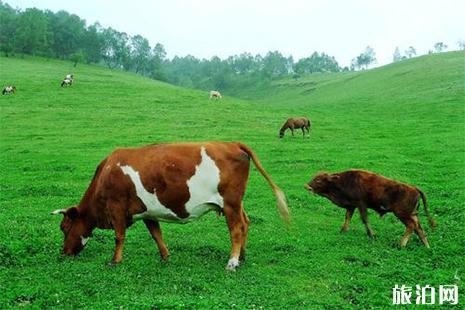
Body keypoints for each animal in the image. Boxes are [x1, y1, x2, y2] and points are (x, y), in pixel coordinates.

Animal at [51, 142, 290, 270]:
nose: (63, 253)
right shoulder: (148, 212)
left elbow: (119, 237)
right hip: (235, 203)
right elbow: (156, 235)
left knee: (236, 229)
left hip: (230, 203)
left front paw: (115, 261)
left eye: (64, 228)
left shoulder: (116, 208)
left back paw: (232, 262)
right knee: (246, 222)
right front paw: (165, 257)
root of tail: (231, 143)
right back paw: (241, 256)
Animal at [304, 168, 436, 248]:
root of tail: (414, 188)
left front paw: (371, 235)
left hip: (402, 214)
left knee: (411, 226)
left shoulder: (361, 204)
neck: (342, 181)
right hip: (412, 214)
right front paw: (343, 230)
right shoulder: (351, 206)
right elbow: (348, 217)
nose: (307, 186)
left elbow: (364, 219)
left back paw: (401, 244)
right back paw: (426, 246)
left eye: (319, 180)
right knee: (419, 228)